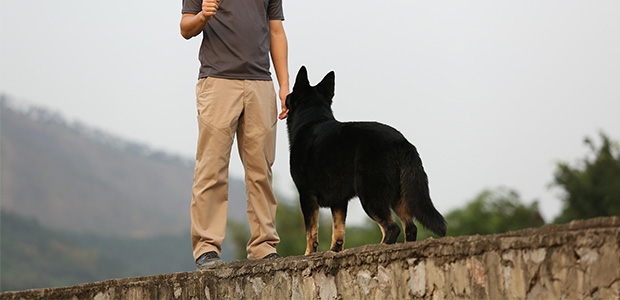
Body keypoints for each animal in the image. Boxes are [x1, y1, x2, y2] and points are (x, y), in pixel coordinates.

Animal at [286, 67, 446, 254]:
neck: (312, 120)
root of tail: (401, 142)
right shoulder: (339, 201)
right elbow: (338, 232)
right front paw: (334, 251)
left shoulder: (307, 195)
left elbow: (311, 233)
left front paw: (308, 254)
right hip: (397, 197)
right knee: (410, 227)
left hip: (371, 196)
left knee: (392, 228)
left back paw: (380, 247)